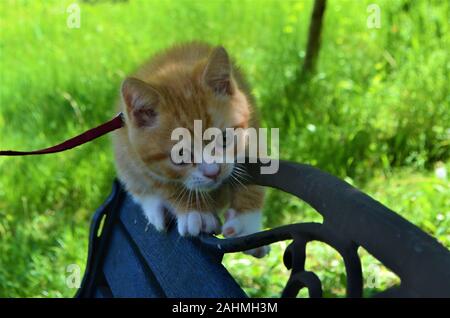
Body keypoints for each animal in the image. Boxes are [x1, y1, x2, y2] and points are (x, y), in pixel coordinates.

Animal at [112, 41, 268, 258]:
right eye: (180, 154)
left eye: (225, 138)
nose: (213, 172)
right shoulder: (138, 159)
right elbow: (166, 185)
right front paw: (196, 213)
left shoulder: (253, 129)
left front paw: (247, 223)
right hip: (122, 150)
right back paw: (155, 210)